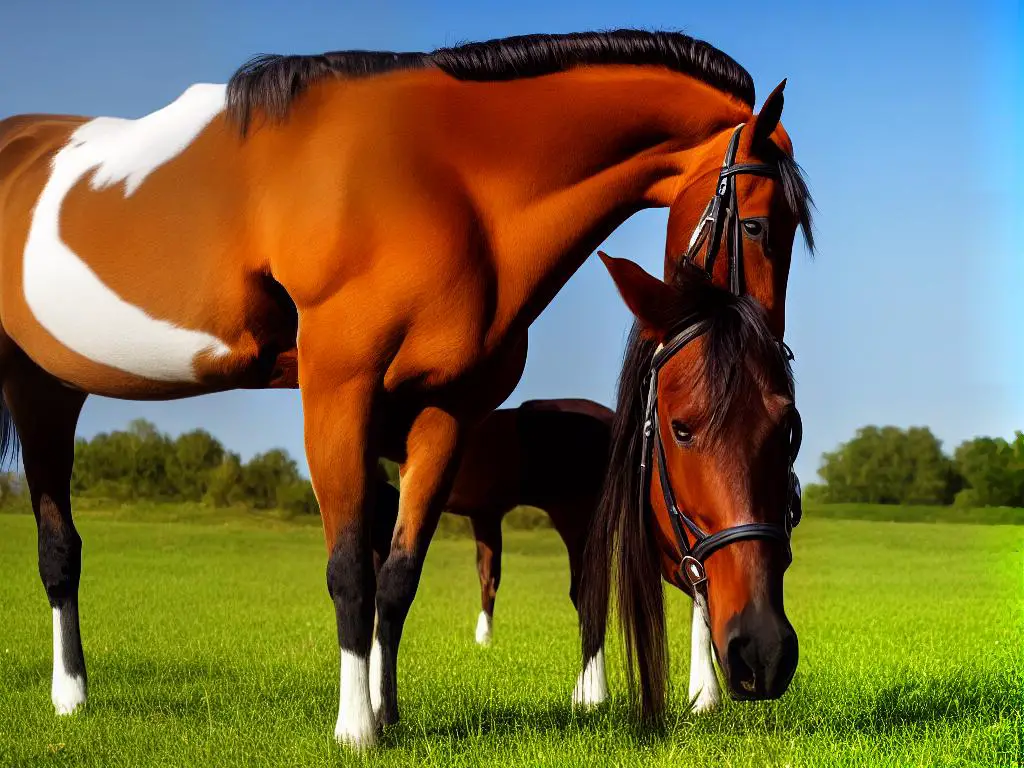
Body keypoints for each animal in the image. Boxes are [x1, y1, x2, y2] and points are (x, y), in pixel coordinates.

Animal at [376, 399, 614, 708]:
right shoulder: (486, 515)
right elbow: (488, 576)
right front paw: (484, 638)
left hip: (575, 519)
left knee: (588, 593)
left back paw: (591, 690)